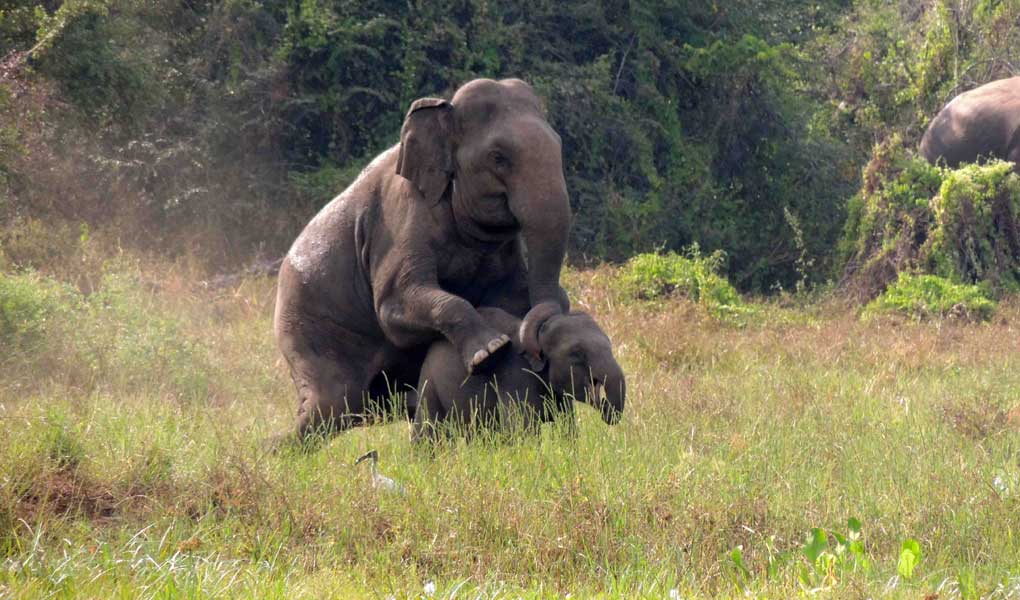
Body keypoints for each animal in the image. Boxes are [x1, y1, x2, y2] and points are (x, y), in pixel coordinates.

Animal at [271, 77, 575, 438]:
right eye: (498, 158)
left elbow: (509, 297)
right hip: (306, 328)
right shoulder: (400, 219)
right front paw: (489, 352)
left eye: (559, 145)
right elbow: (394, 308)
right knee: (329, 404)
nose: (538, 353)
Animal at [412, 304, 620, 440]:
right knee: (428, 430)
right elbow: (522, 430)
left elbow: (567, 426)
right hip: (429, 383)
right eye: (576, 353)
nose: (605, 407)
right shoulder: (515, 376)